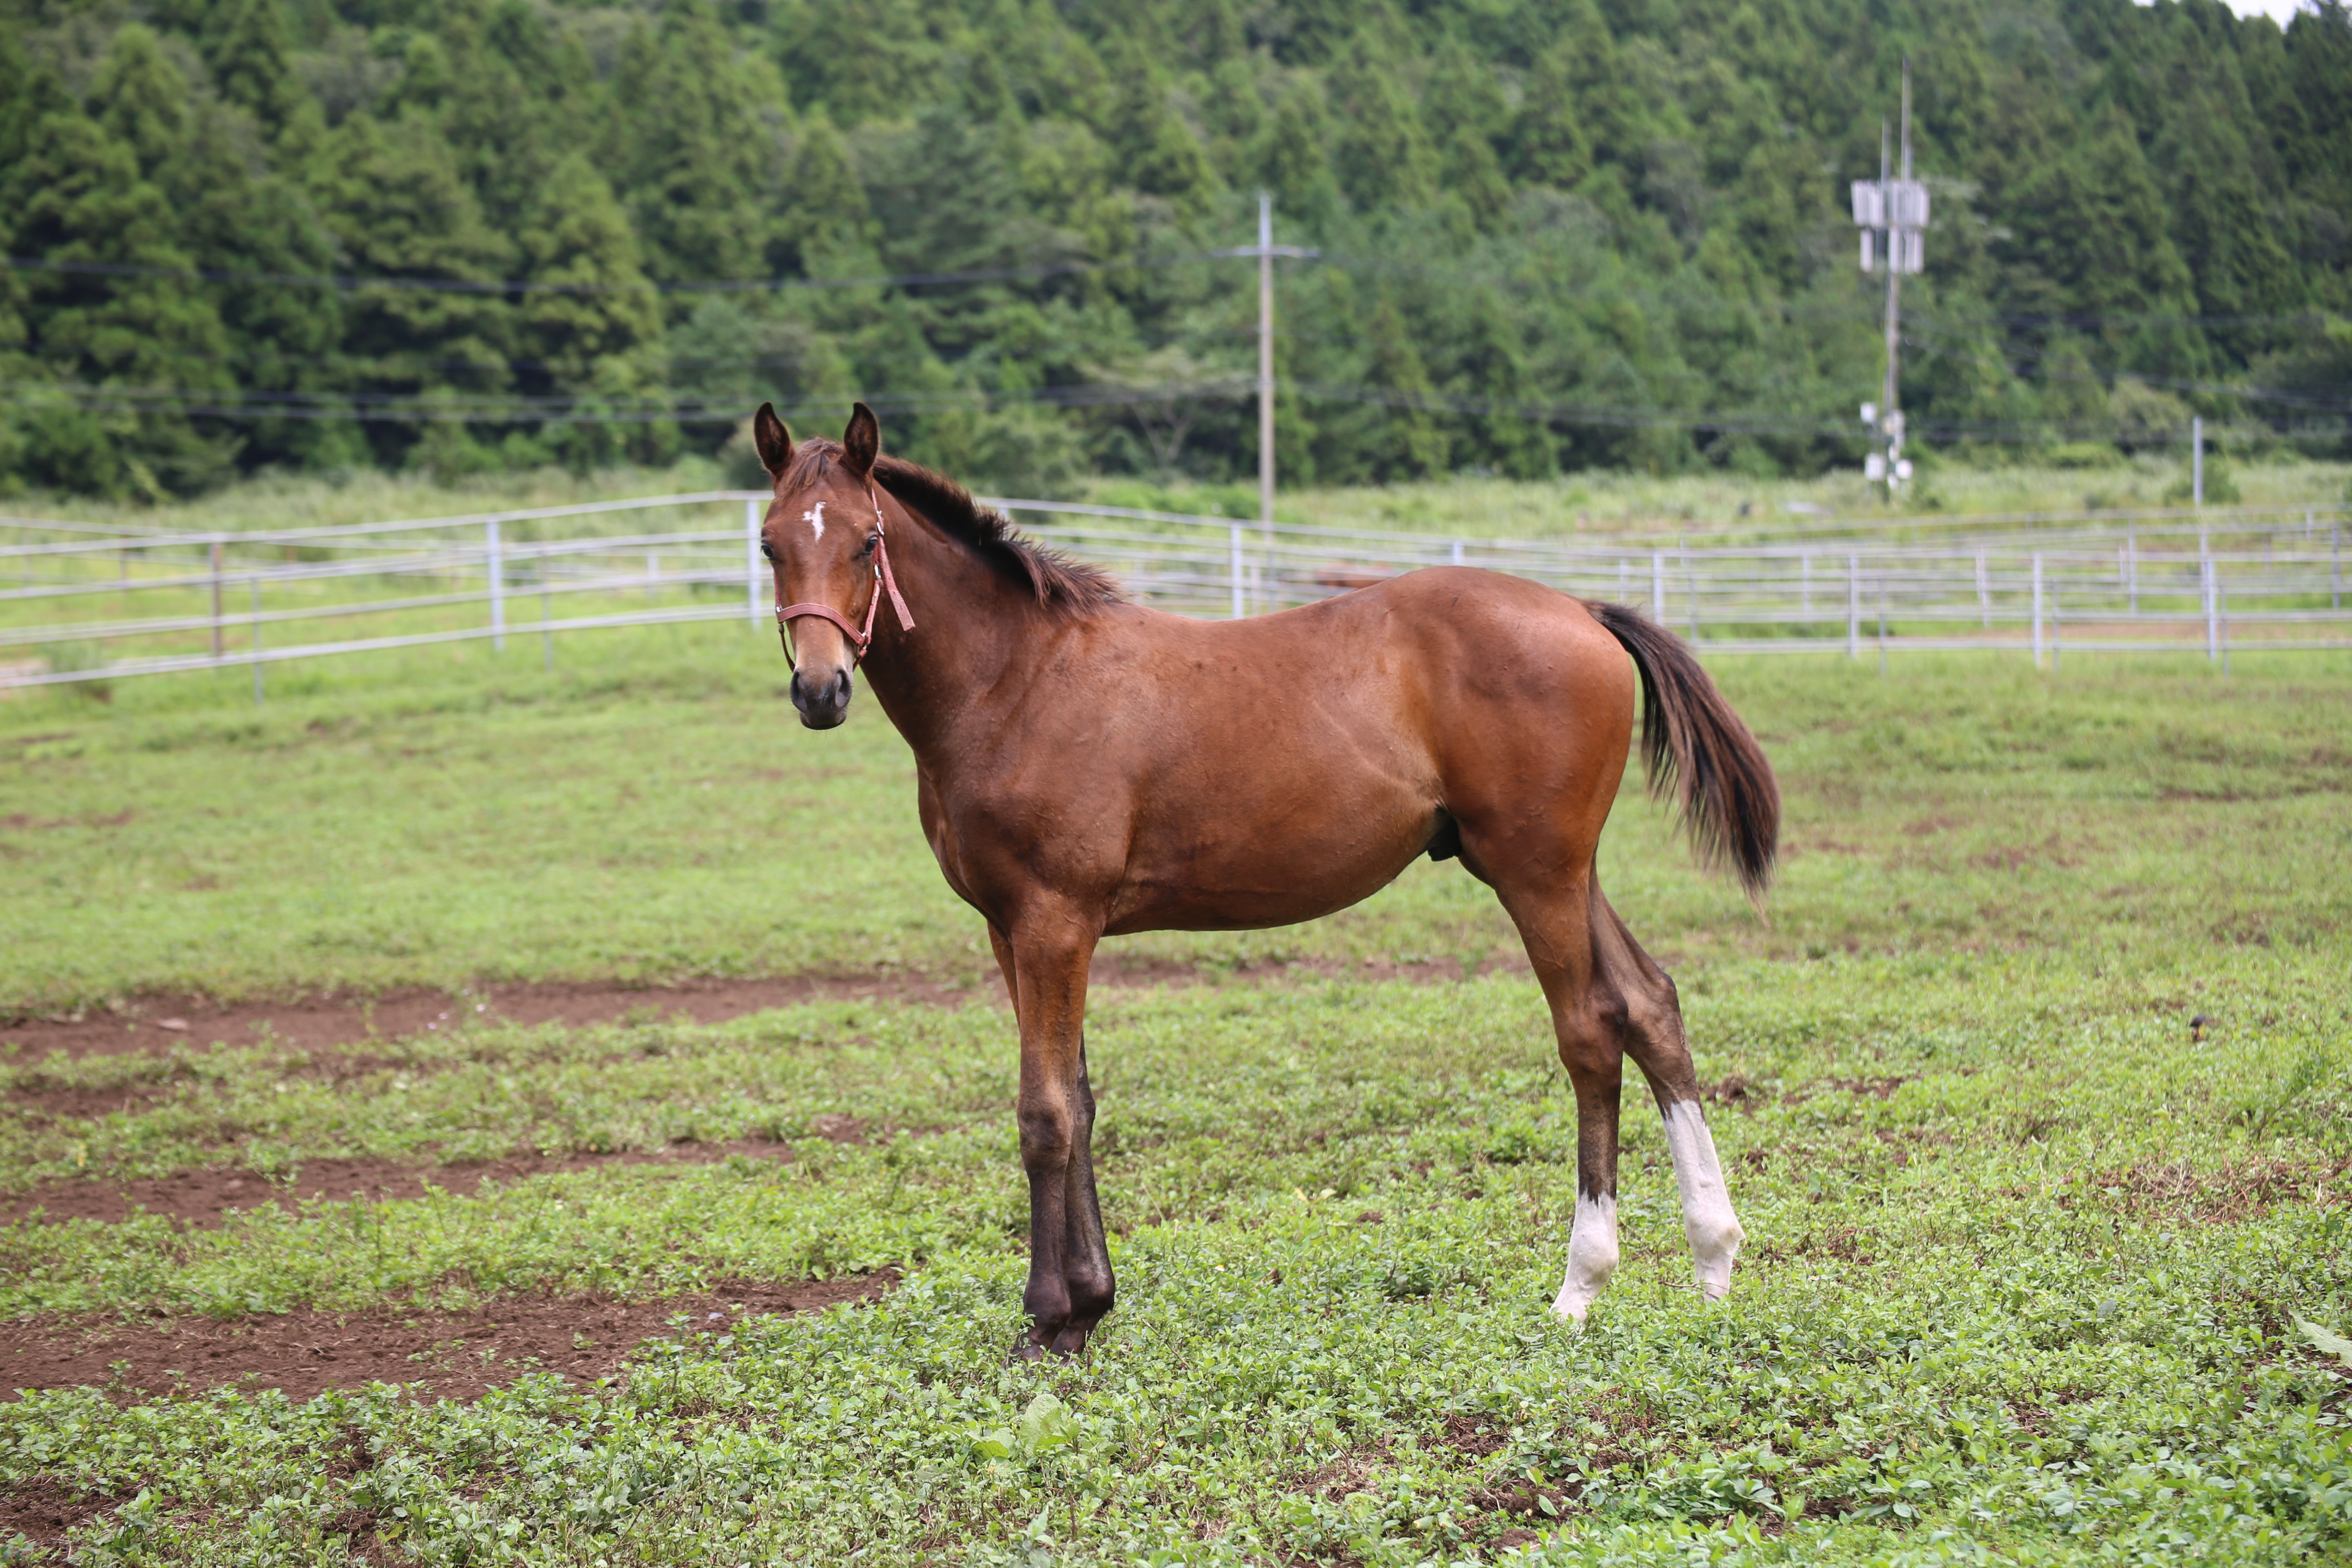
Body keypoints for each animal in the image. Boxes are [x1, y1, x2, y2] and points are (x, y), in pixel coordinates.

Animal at [762, 404, 1768, 1363]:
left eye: (867, 541)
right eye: (770, 543)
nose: (820, 691)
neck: (1017, 680)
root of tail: (1585, 612)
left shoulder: (1055, 921)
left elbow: (1044, 1114)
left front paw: (1048, 1320)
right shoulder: (1011, 929)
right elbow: (1080, 1101)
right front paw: (1088, 1308)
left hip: (1537, 875)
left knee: (1591, 1033)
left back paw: (1579, 1289)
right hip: (1560, 870)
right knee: (1651, 1005)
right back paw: (1714, 1261)